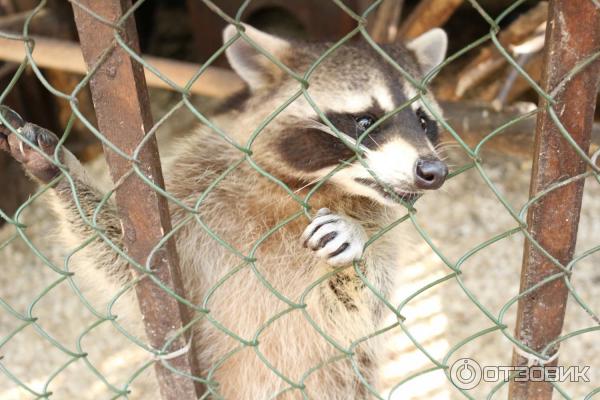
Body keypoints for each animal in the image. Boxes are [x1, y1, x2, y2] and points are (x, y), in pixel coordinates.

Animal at [0, 23, 448, 398]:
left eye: (424, 122)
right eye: (365, 120)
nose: (434, 172)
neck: (302, 187)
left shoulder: (383, 226)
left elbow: (364, 307)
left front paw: (356, 242)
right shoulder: (196, 194)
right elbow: (135, 271)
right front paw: (62, 171)